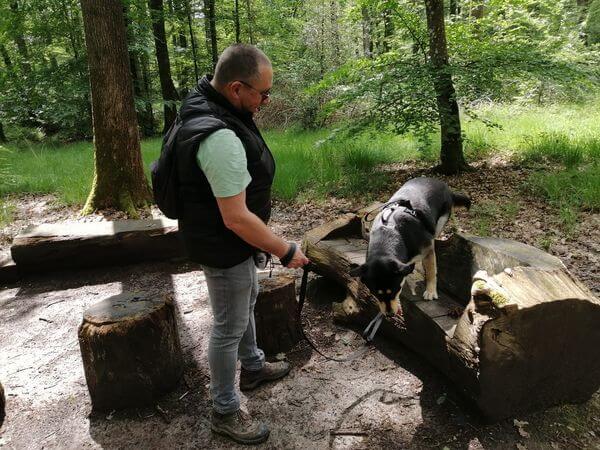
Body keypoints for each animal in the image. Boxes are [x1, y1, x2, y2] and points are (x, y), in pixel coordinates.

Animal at [350, 177, 471, 315]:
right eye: (376, 294)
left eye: (395, 290)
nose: (389, 314)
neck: (389, 232)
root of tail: (441, 183)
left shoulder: (428, 249)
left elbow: (431, 271)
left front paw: (430, 291)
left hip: (440, 222)